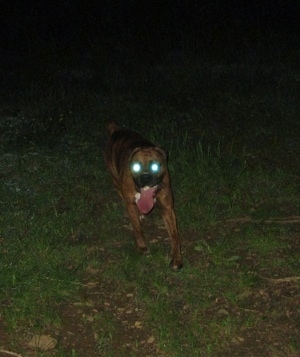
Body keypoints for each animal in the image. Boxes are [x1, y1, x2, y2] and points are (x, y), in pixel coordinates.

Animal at [104, 122, 182, 270]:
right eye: (135, 167)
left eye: (155, 166)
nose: (145, 177)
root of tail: (116, 131)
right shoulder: (131, 204)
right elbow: (137, 228)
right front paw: (142, 247)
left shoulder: (168, 208)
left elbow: (175, 235)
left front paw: (176, 258)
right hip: (115, 180)